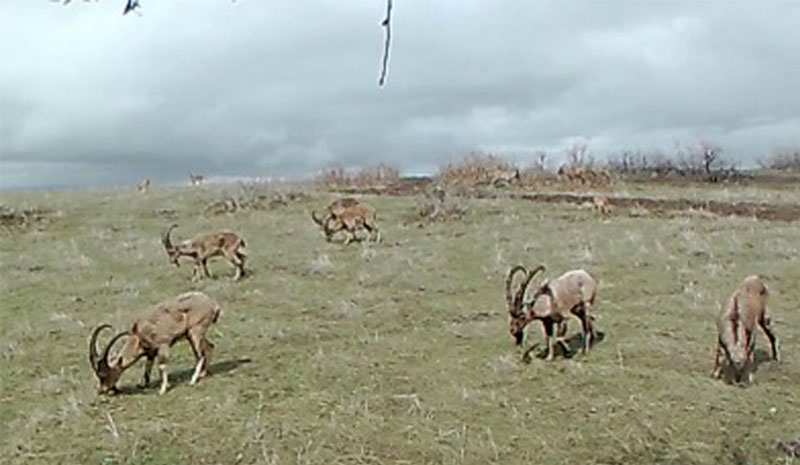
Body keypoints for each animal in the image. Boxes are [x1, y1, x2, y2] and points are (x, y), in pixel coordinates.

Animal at [88, 292, 222, 394]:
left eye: (103, 374)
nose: (101, 390)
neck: (139, 334)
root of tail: (213, 305)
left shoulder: (163, 345)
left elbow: (161, 366)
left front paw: (163, 389)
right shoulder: (150, 351)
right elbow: (148, 365)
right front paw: (143, 384)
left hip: (195, 331)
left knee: (200, 355)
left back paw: (193, 380)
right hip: (193, 335)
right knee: (209, 347)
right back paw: (203, 374)